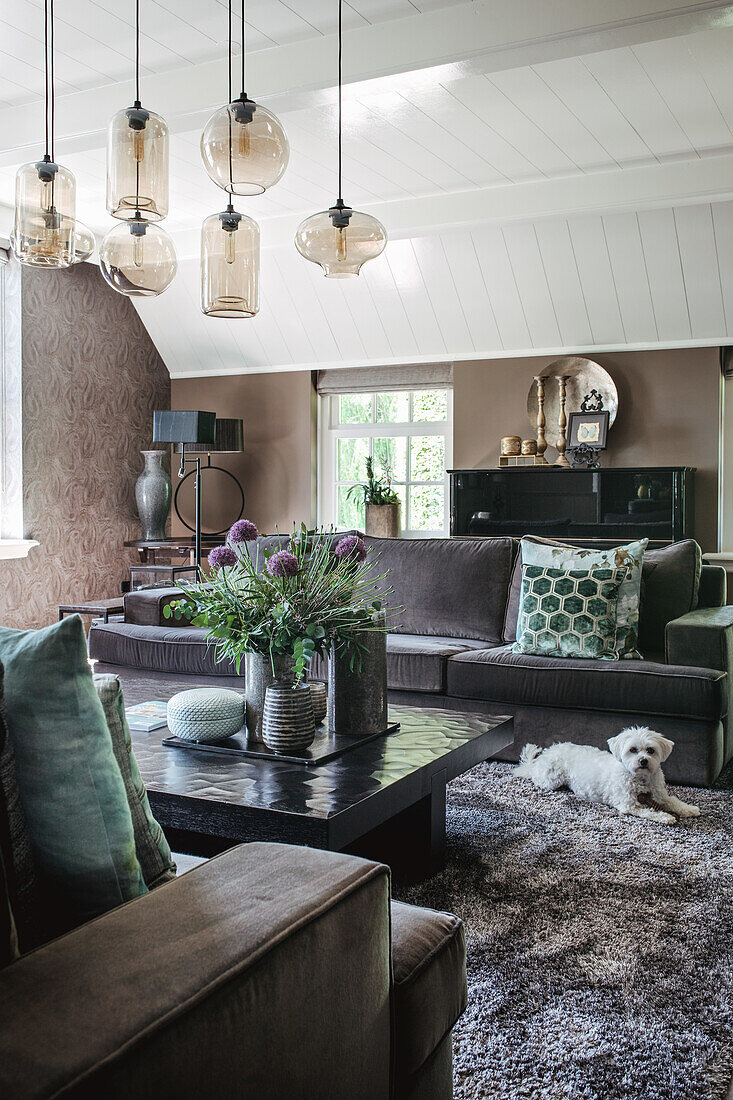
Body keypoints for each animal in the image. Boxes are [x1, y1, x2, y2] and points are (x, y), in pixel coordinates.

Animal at [512, 726, 695, 822]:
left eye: (650, 750)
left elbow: (674, 801)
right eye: (633, 750)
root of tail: (546, 754)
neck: (640, 779)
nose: (643, 761)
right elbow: (649, 811)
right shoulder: (629, 805)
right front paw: (666, 817)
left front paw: (690, 809)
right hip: (551, 780)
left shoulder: (661, 796)